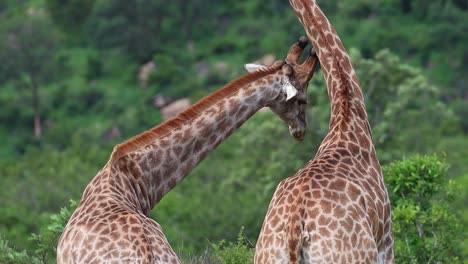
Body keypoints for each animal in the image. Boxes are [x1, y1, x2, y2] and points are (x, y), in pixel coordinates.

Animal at [254, 0, 394, 264]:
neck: (347, 119)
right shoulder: (386, 239)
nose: (297, 132)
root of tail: (294, 227)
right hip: (355, 256)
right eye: (301, 99)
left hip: (265, 255)